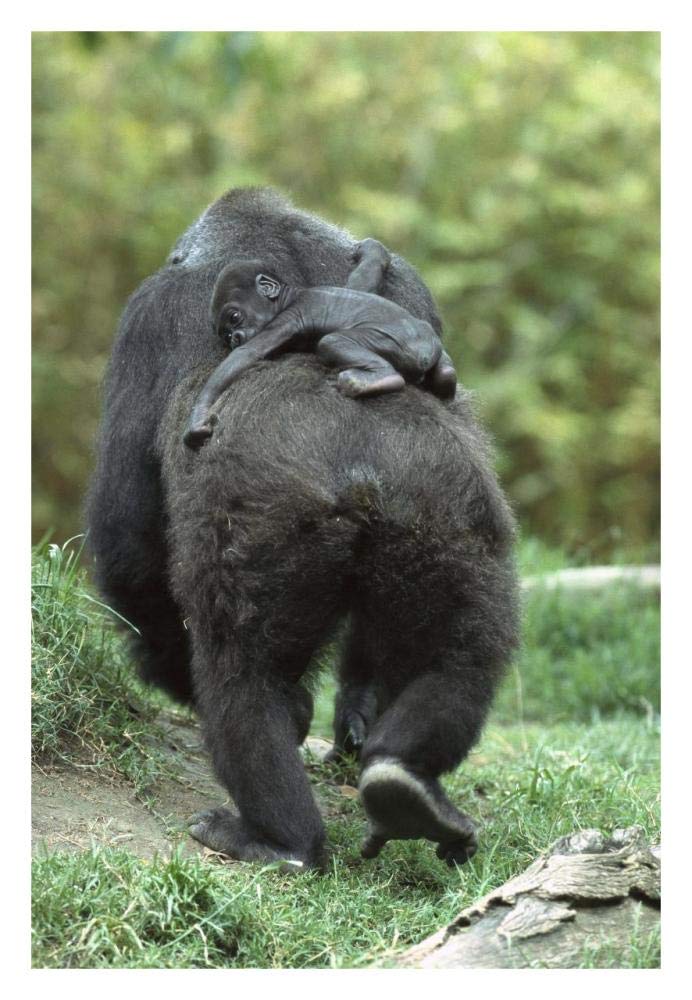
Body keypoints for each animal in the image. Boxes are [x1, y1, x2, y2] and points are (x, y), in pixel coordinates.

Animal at [183, 238, 457, 449]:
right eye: (226, 335)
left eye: (235, 317)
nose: (235, 338)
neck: (289, 296)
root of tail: (425, 350)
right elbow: (361, 281)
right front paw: (372, 252)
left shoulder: (284, 320)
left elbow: (248, 353)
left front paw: (197, 415)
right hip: (436, 350)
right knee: (445, 373)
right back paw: (444, 384)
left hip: (402, 346)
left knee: (331, 341)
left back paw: (378, 378)